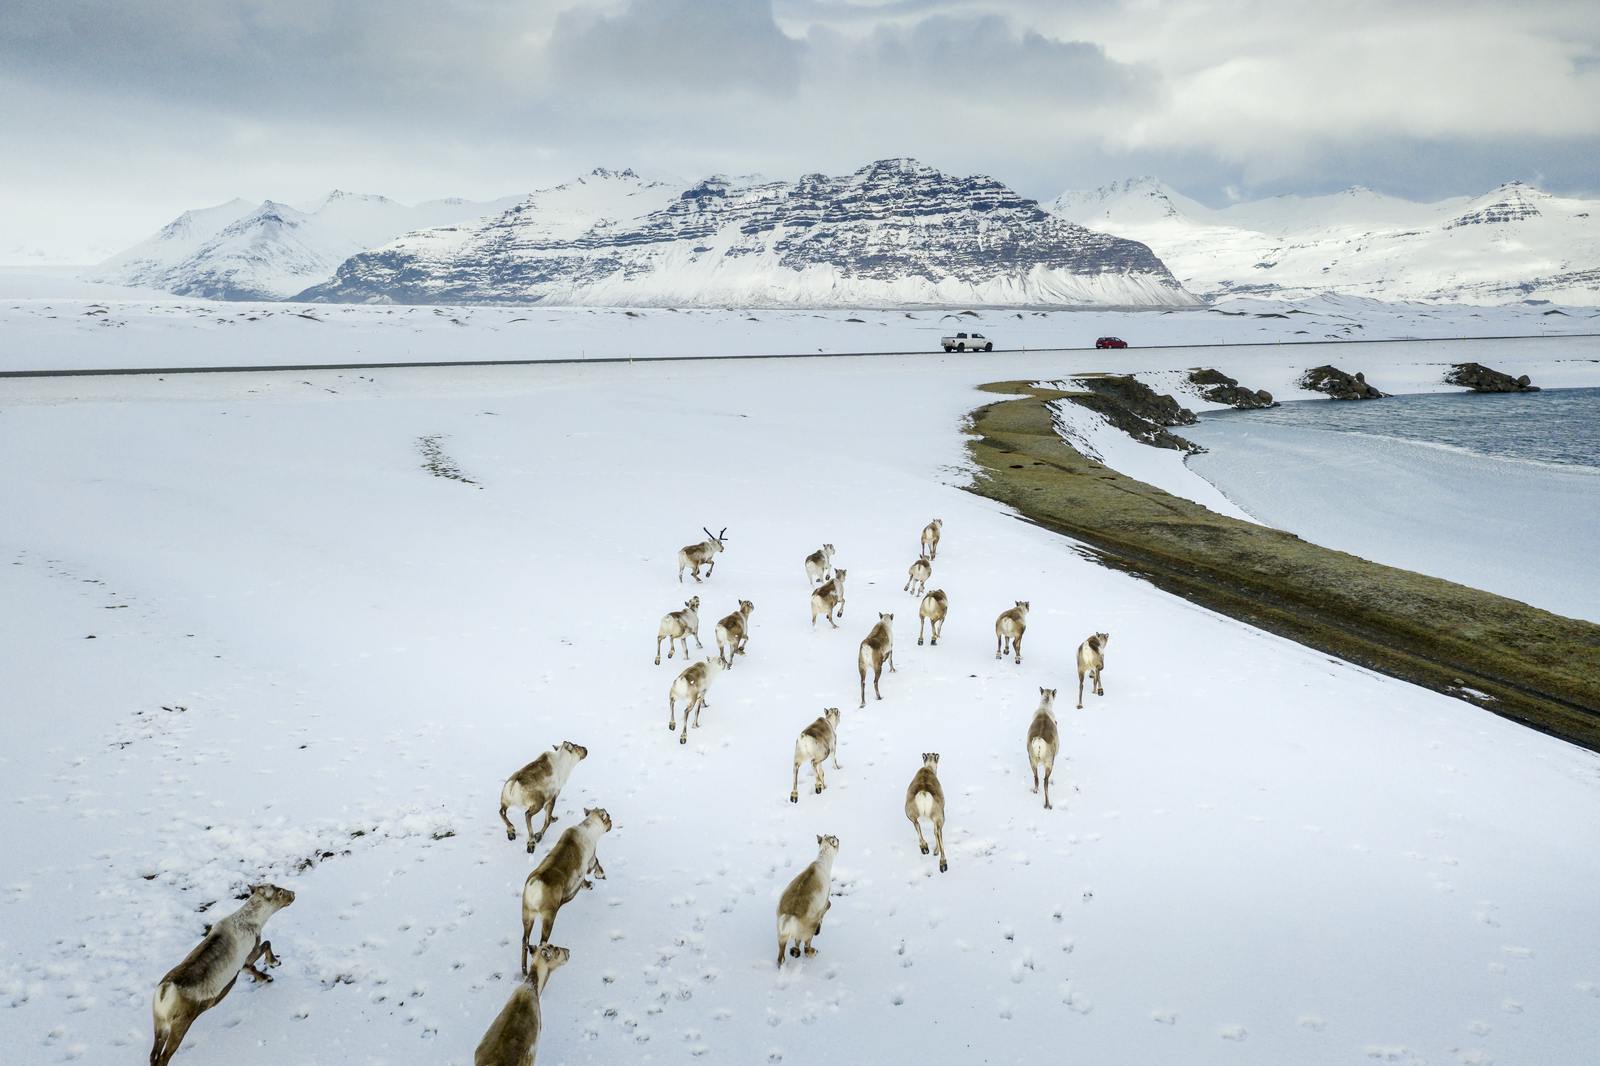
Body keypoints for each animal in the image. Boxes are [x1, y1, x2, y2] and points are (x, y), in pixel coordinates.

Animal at [149, 884, 296, 1066]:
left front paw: (266, 976)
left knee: (153, 1055)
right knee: (163, 1057)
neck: (253, 920)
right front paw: (273, 965)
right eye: (280, 892)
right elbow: (266, 945)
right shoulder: (248, 955)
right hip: (179, 1026)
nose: (293, 894)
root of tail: (164, 993)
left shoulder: (242, 966)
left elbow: (254, 968)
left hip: (159, 1025)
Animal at [521, 808, 611, 971]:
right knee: (542, 942)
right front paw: (599, 877)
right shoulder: (590, 861)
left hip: (527, 915)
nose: (612, 823)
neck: (589, 829)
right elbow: (596, 865)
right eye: (608, 817)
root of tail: (534, 887)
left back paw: (524, 971)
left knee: (525, 940)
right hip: (548, 918)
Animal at [776, 834, 839, 968]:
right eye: (835, 839)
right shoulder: (825, 899)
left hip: (781, 934)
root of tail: (790, 916)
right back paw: (813, 952)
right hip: (809, 928)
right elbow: (828, 905)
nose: (837, 837)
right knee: (805, 946)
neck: (823, 860)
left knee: (782, 957)